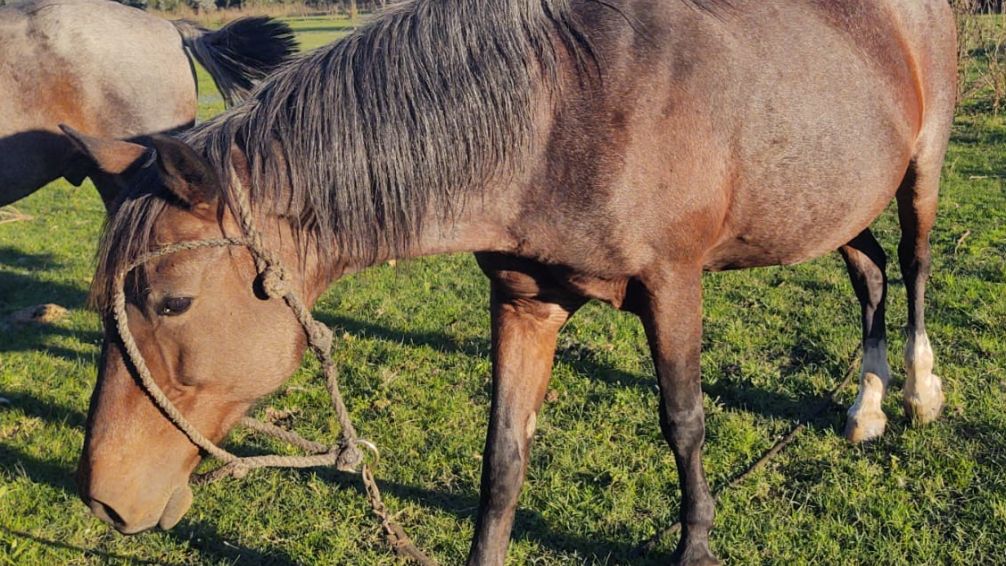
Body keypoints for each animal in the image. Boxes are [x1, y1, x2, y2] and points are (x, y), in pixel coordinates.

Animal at [65, 0, 956, 563]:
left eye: (172, 301)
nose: (103, 497)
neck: (563, 108)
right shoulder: (525, 302)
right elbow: (502, 457)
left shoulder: (674, 286)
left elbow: (683, 423)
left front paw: (696, 544)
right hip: (830, 203)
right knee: (869, 274)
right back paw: (866, 407)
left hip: (921, 170)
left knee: (911, 270)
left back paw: (915, 392)